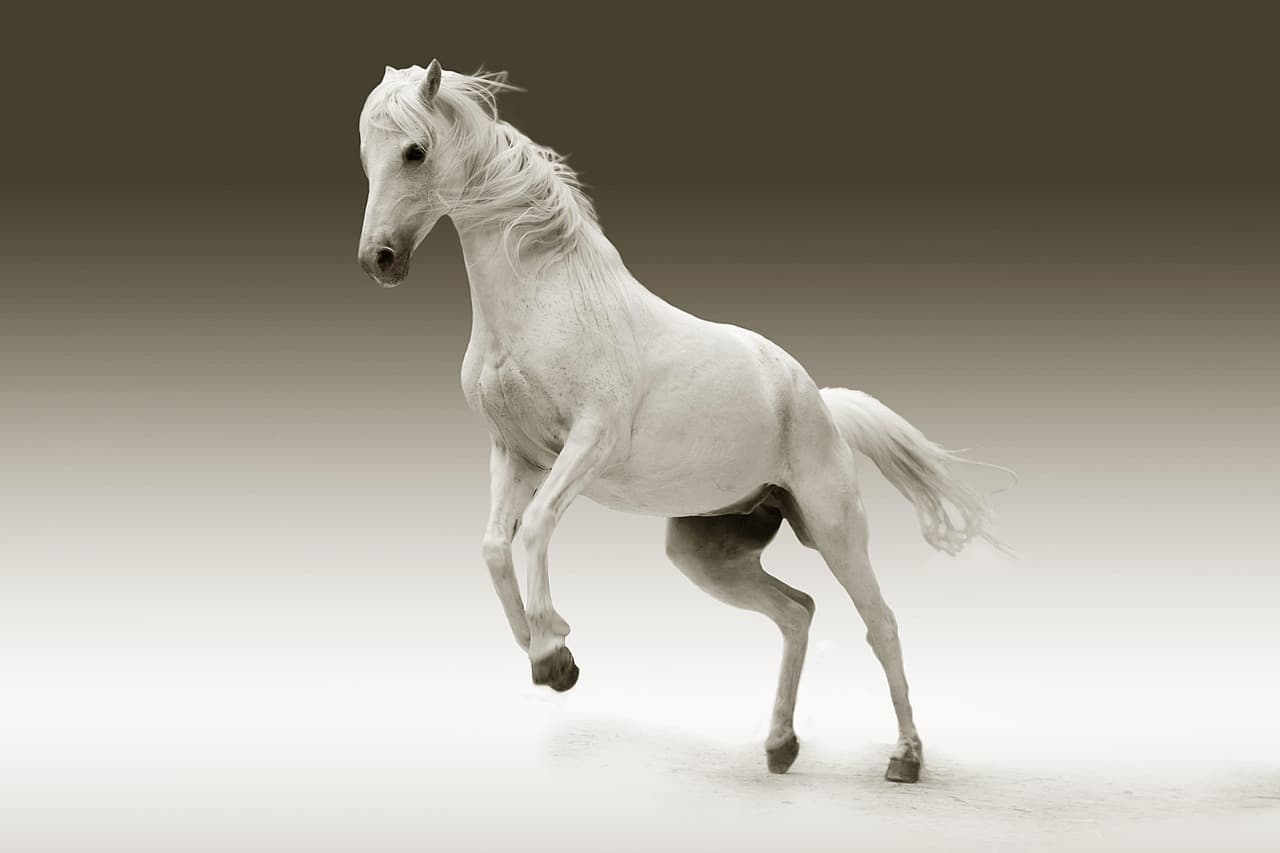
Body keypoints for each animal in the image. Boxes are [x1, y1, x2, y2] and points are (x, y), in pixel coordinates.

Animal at [356, 60, 1006, 784]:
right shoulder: (514, 453)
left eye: (415, 151)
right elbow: (496, 545)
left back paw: (905, 757)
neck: (546, 301)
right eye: (366, 154)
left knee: (881, 623)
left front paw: (553, 651)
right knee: (797, 612)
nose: (379, 259)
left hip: (835, 528)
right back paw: (780, 745)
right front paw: (546, 652)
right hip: (707, 552)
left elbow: (536, 529)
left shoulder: (588, 444)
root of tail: (817, 400)